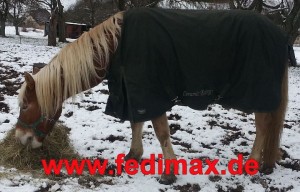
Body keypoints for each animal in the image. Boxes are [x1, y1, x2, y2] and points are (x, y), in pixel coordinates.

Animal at [15, 8, 292, 184]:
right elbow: (136, 123)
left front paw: (169, 173)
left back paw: (252, 165)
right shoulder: (133, 92)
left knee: (264, 126)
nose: (21, 139)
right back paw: (266, 163)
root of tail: (278, 34)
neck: (115, 46)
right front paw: (133, 156)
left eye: (26, 105)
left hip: (258, 94)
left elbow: (161, 132)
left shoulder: (151, 94)